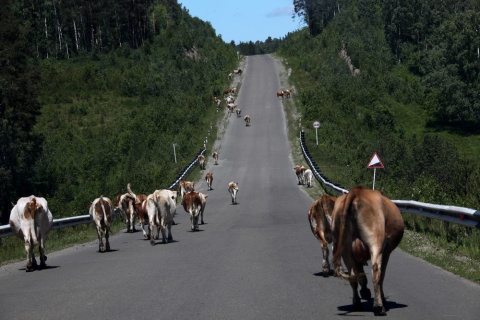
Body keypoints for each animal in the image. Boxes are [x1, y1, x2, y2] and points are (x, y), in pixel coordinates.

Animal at [332, 186, 404, 316]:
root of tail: (357, 191)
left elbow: (361, 275)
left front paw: (365, 292)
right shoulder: (386, 253)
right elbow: (381, 276)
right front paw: (383, 300)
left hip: (345, 248)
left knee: (353, 276)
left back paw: (357, 304)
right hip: (375, 242)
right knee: (376, 272)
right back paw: (379, 307)